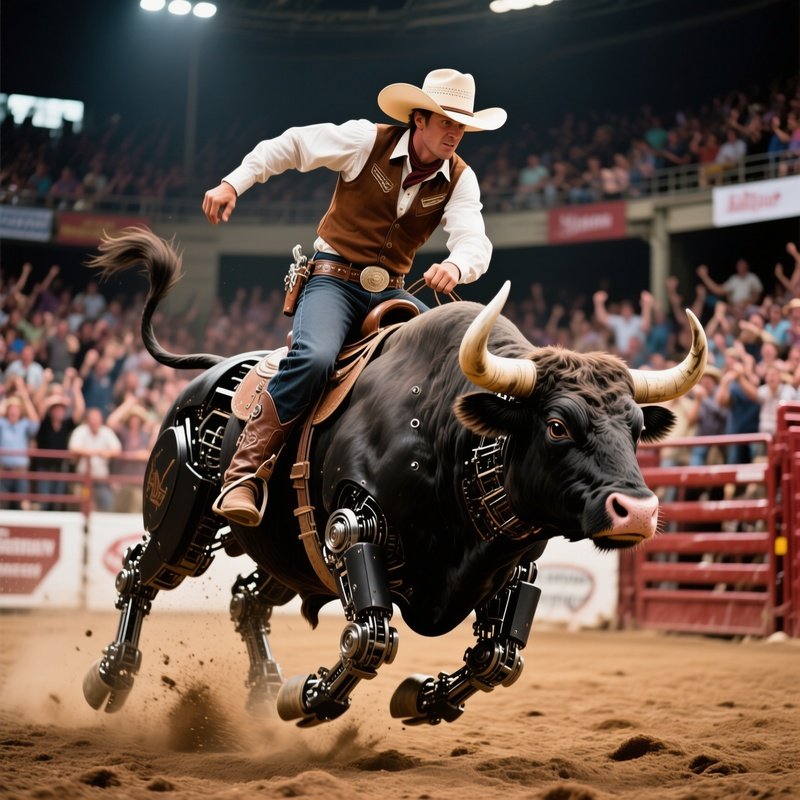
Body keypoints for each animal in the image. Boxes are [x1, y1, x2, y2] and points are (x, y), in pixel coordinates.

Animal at [82, 227, 706, 726]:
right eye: (556, 424)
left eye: (635, 428)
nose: (638, 511)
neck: (450, 435)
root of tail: (217, 370)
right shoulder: (350, 525)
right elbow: (370, 639)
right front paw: (308, 698)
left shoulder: (512, 565)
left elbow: (498, 657)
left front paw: (421, 699)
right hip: (185, 522)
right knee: (139, 575)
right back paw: (110, 677)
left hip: (284, 552)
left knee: (247, 601)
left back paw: (262, 689)